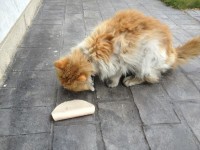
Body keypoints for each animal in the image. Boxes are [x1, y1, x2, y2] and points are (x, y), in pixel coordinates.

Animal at [54, 9, 200, 91]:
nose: (64, 88)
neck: (89, 55)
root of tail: (173, 54)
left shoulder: (120, 61)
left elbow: (116, 74)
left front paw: (112, 83)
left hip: (148, 56)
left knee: (148, 77)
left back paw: (130, 80)